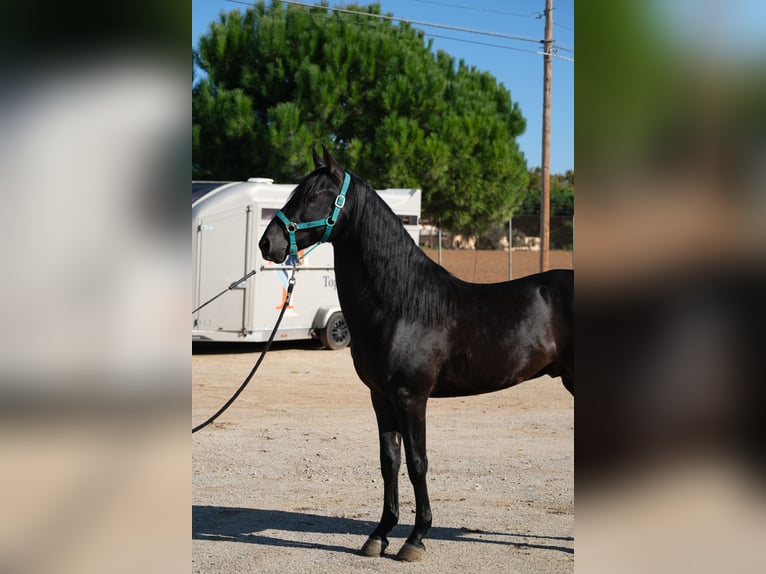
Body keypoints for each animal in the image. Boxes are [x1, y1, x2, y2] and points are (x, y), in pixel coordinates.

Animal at [260, 147, 572, 564]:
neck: (402, 303)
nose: (268, 243)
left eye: (313, 195)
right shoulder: (381, 397)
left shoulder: (412, 397)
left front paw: (416, 537)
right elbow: (389, 461)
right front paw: (380, 534)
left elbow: (417, 462)